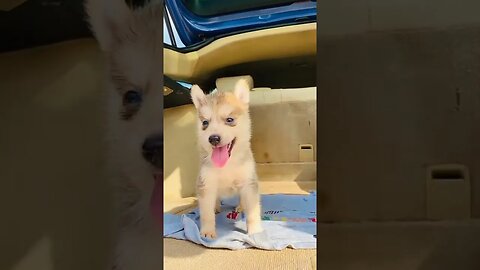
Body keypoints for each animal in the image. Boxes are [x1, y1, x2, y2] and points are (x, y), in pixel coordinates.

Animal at [189, 79, 262, 238]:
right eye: (205, 123)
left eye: (230, 119)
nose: (213, 139)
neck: (227, 165)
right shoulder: (206, 184)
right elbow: (206, 213)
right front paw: (207, 232)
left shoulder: (249, 183)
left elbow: (253, 211)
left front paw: (255, 231)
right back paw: (216, 206)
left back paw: (241, 206)